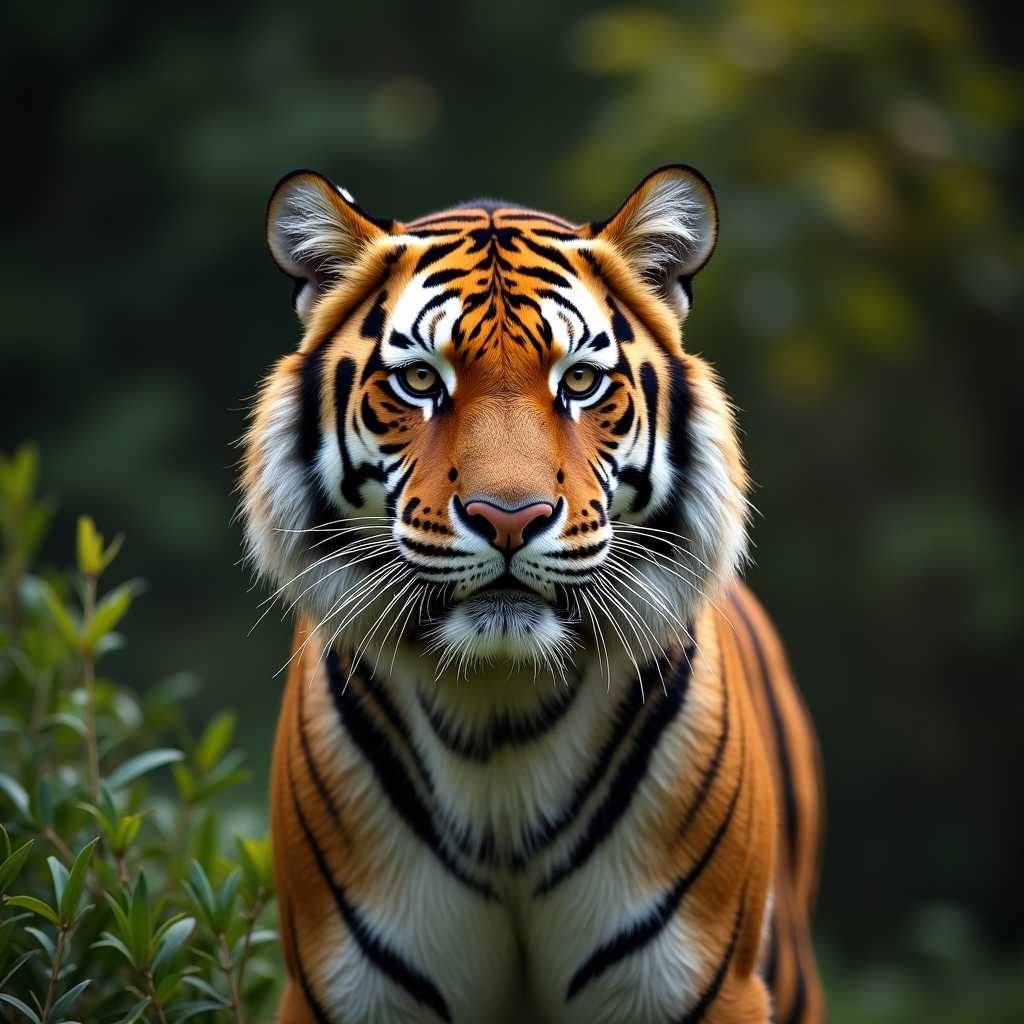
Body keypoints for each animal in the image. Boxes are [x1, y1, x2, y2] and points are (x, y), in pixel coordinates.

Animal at [240, 164, 826, 1023]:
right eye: (421, 380)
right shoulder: (347, 988)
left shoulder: (702, 985)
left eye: (579, 380)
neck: (501, 724)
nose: (509, 517)